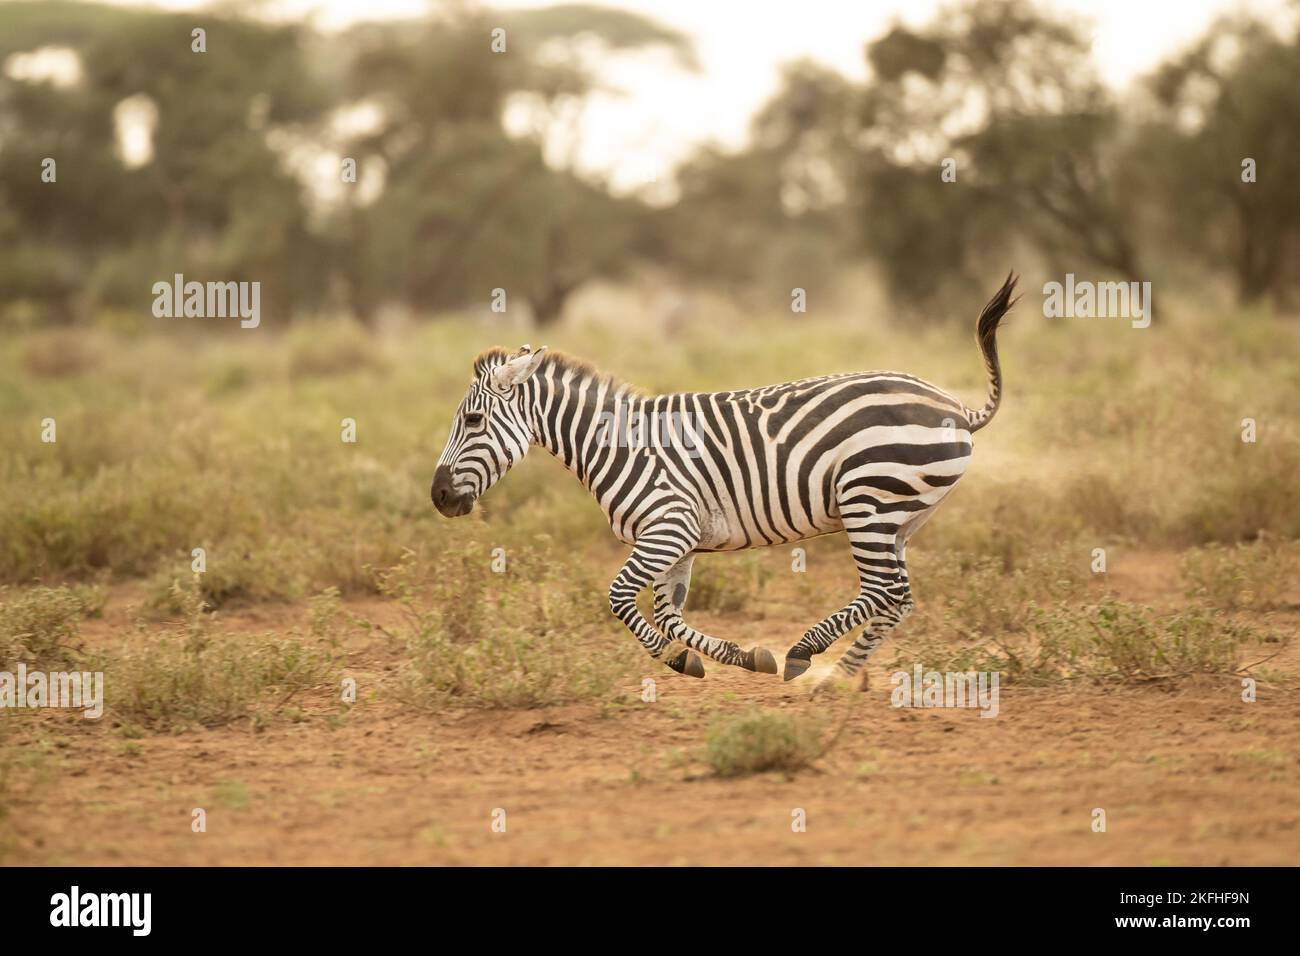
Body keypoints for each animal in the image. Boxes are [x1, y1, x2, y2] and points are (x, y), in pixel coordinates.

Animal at [431, 273, 1019, 686]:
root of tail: (957, 407)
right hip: (901, 518)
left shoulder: (667, 528)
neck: (617, 446)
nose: (438, 497)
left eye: (473, 421)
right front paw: (729, 658)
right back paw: (837, 679)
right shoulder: (676, 539)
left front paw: (681, 660)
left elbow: (620, 598)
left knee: (882, 590)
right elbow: (667, 613)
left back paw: (806, 654)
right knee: (898, 598)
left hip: (868, 500)